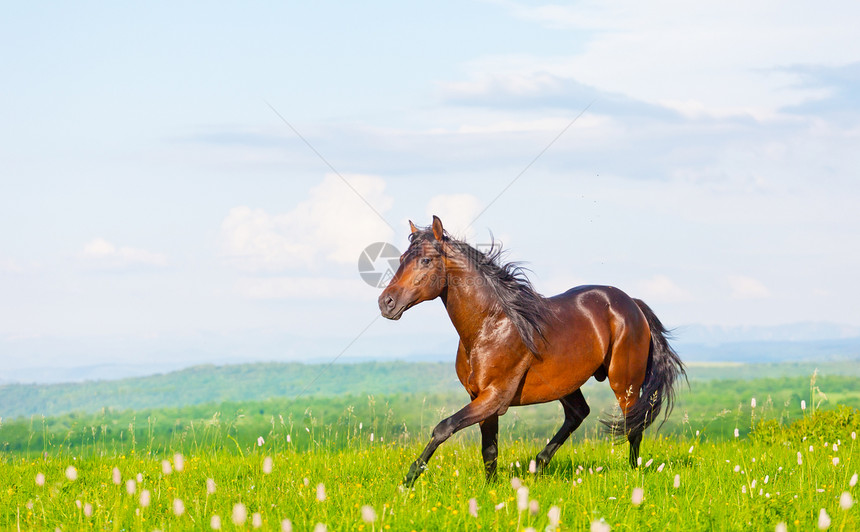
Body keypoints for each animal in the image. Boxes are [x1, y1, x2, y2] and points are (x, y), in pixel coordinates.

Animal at [380, 216, 688, 486]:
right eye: (401, 259)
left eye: (426, 260)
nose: (386, 303)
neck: (489, 327)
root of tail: (633, 304)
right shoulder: (480, 397)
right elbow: (489, 450)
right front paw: (491, 490)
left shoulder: (494, 396)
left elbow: (444, 427)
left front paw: (408, 480)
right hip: (566, 383)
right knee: (579, 413)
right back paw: (538, 464)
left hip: (625, 382)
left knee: (634, 425)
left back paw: (632, 475)